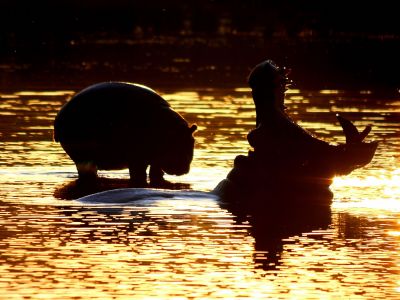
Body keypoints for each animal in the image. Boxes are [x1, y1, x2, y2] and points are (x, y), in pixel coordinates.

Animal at [53, 82, 197, 185]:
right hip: (84, 158)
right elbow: (139, 174)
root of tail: (59, 118)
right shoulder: (137, 158)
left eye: (193, 140)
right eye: (174, 142)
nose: (184, 169)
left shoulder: (154, 159)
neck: (167, 129)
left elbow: (156, 172)